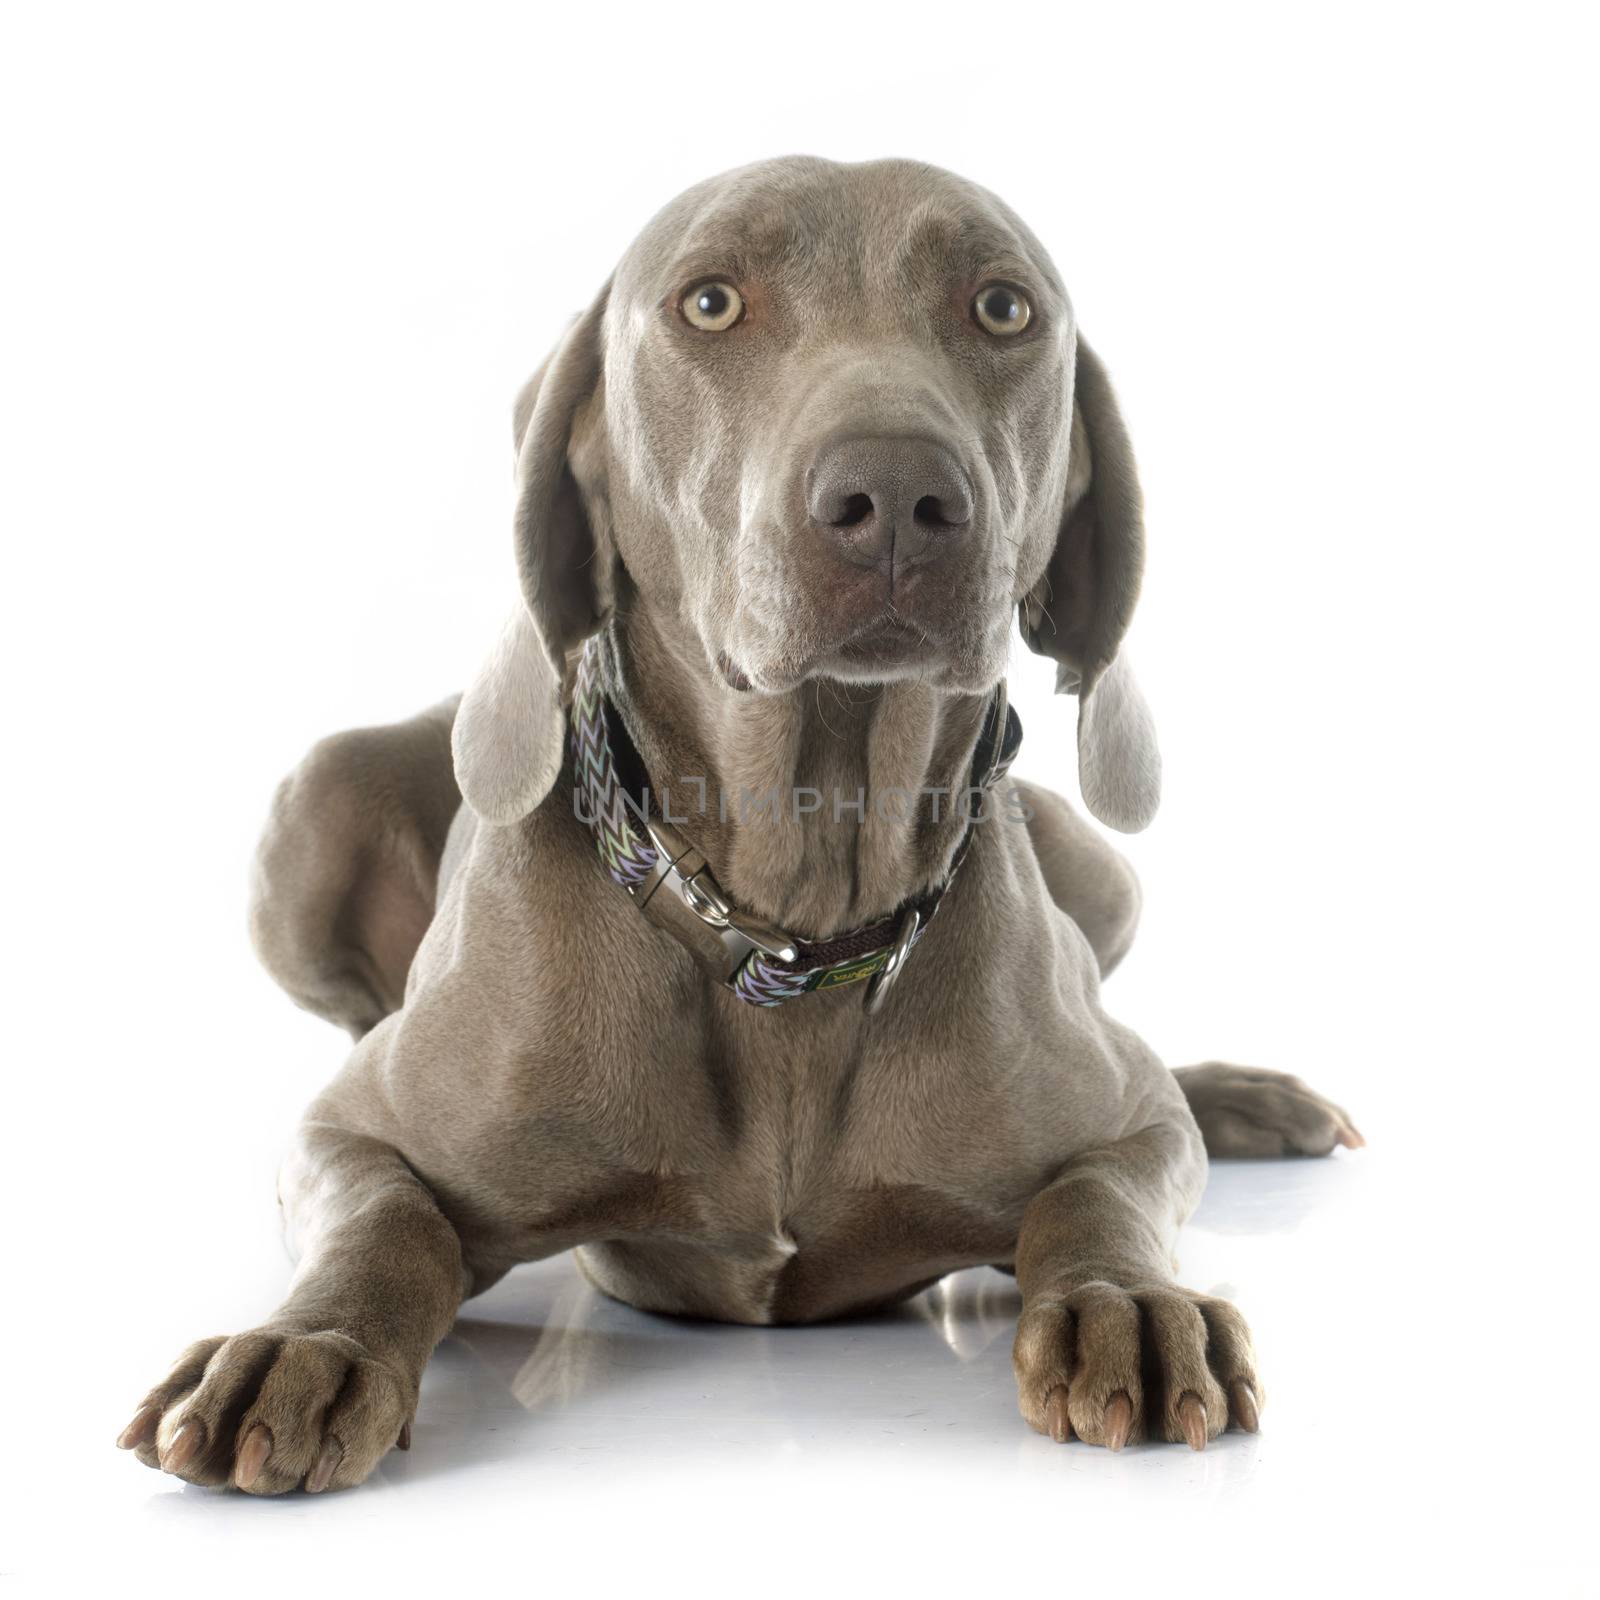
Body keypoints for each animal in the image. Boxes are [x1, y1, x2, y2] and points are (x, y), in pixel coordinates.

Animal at [118, 156, 1356, 1491]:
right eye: (709, 303)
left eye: (1003, 308)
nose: (896, 496)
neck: (790, 920)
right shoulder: (346, 1133)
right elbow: (384, 1213)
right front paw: (310, 1347)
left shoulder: (1126, 1125)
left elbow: (1102, 1188)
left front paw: (1125, 1305)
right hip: (317, 801)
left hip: (1101, 865)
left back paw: (1241, 1097)